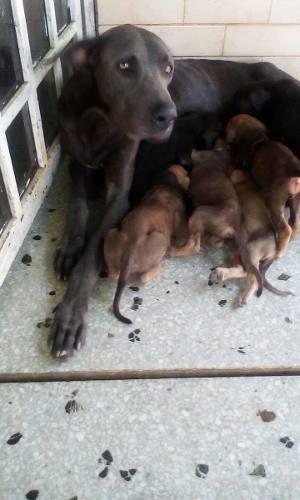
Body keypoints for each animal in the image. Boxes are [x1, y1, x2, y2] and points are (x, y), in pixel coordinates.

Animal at [104, 164, 189, 324]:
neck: (165, 186)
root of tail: (129, 253)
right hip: (161, 239)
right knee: (145, 276)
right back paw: (161, 265)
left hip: (111, 233)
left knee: (113, 273)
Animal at [169, 148, 262, 294]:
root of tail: (235, 224)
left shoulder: (190, 175)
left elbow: (181, 174)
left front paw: (173, 168)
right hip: (234, 250)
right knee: (242, 268)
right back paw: (221, 273)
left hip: (198, 214)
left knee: (194, 245)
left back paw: (174, 251)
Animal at [207, 170, 292, 304]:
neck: (247, 182)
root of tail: (273, 252)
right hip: (237, 252)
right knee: (245, 271)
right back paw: (222, 275)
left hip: (249, 252)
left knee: (252, 276)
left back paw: (243, 294)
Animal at [226, 114, 300, 256]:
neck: (258, 137)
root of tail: (293, 171)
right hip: (296, 200)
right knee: (295, 222)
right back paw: (293, 235)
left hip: (273, 203)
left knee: (285, 229)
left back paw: (279, 251)